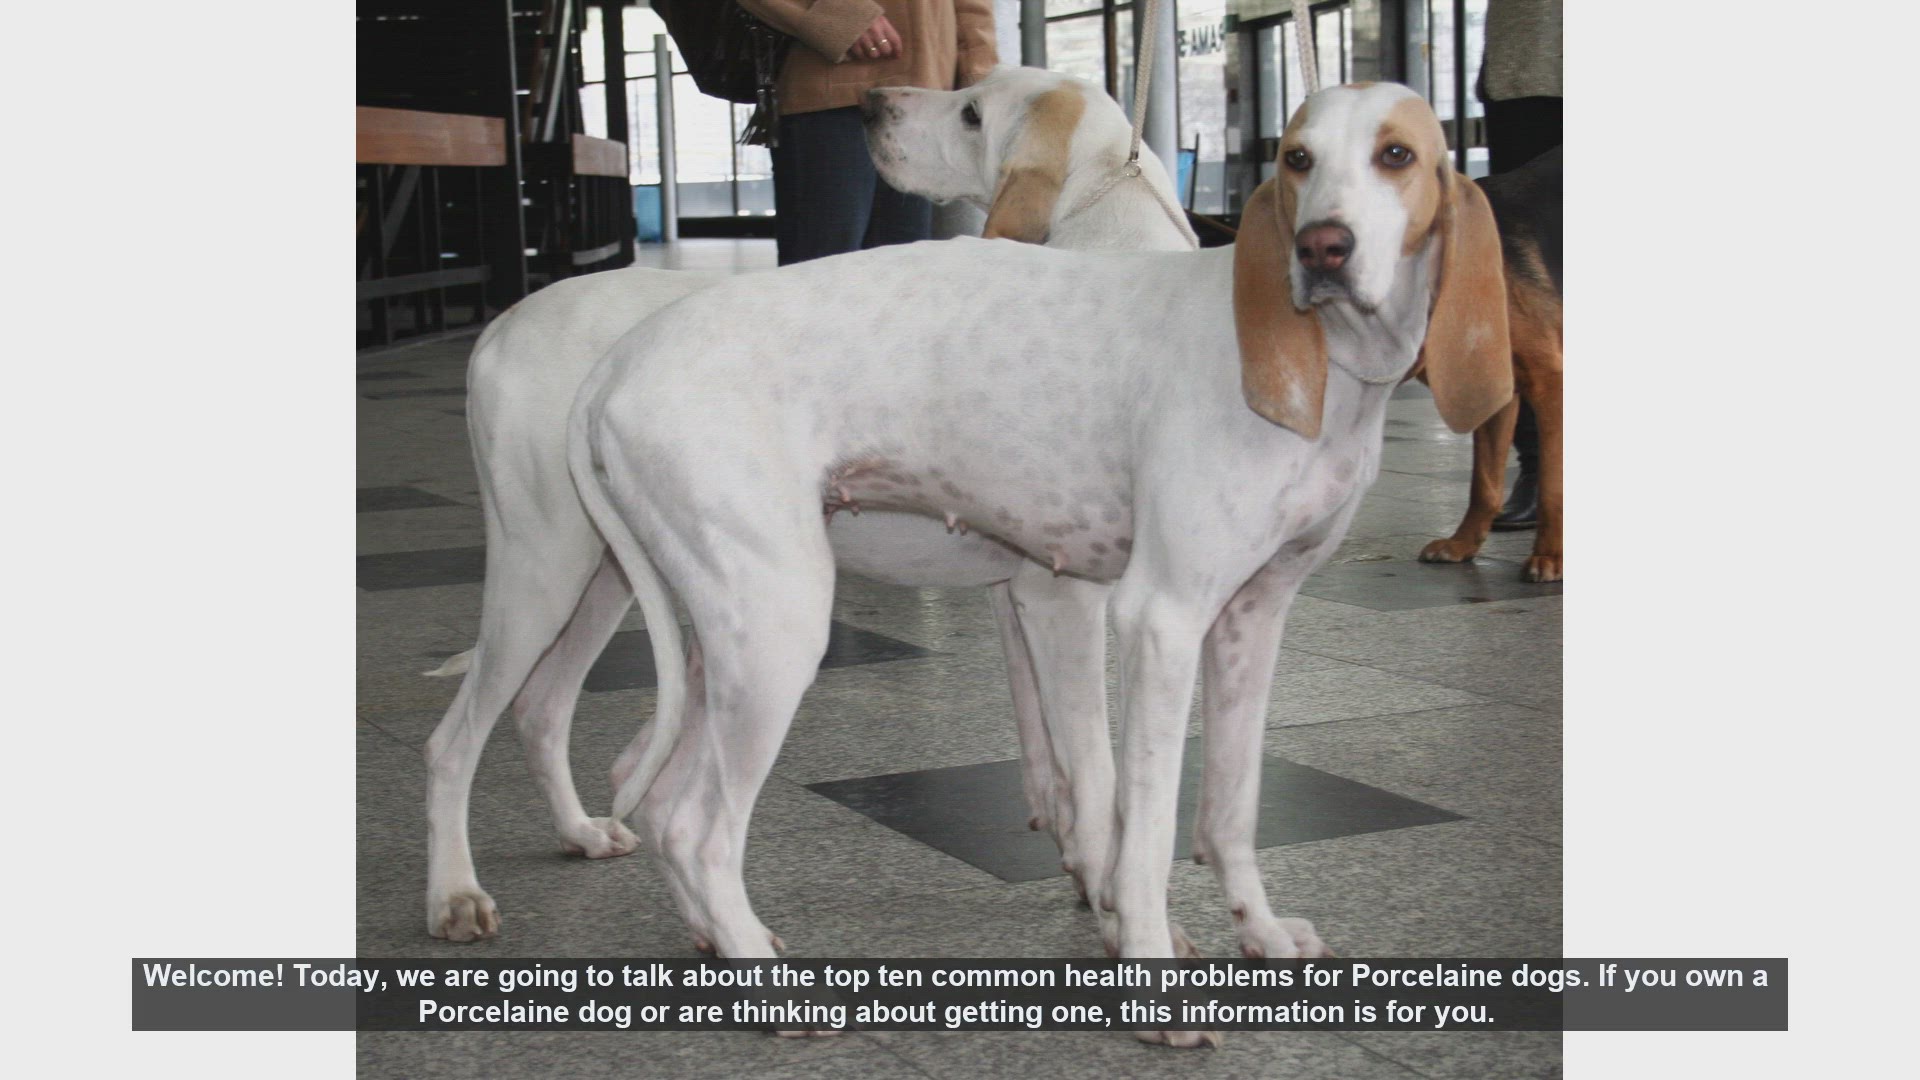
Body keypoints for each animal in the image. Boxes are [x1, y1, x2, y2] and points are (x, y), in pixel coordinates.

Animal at [422, 66, 1196, 944]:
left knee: (544, 712)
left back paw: (587, 836)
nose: (869, 102)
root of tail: (502, 327)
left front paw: (1082, 874)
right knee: (456, 741)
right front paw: (1119, 905)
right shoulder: (1061, 599)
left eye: (971, 110)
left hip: (608, 579)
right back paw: (455, 893)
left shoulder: (1019, 597)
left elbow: (1049, 754)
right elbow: (1096, 775)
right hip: (552, 570)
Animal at [567, 82, 1511, 1047]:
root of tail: (620, 359)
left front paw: (1261, 932)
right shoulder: (1146, 619)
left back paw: (723, 941)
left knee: (657, 790)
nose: (1323, 247)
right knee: (697, 827)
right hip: (772, 634)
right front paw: (1151, 975)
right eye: (1297, 159)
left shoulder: (1253, 618)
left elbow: (1230, 808)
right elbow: (1131, 822)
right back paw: (769, 984)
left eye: (1397, 156)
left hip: (724, 638)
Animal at [1418, 147, 1563, 581]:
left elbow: (1553, 486)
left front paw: (1549, 557)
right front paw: (1462, 545)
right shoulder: (1497, 388)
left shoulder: (1551, 382)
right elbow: (1483, 483)